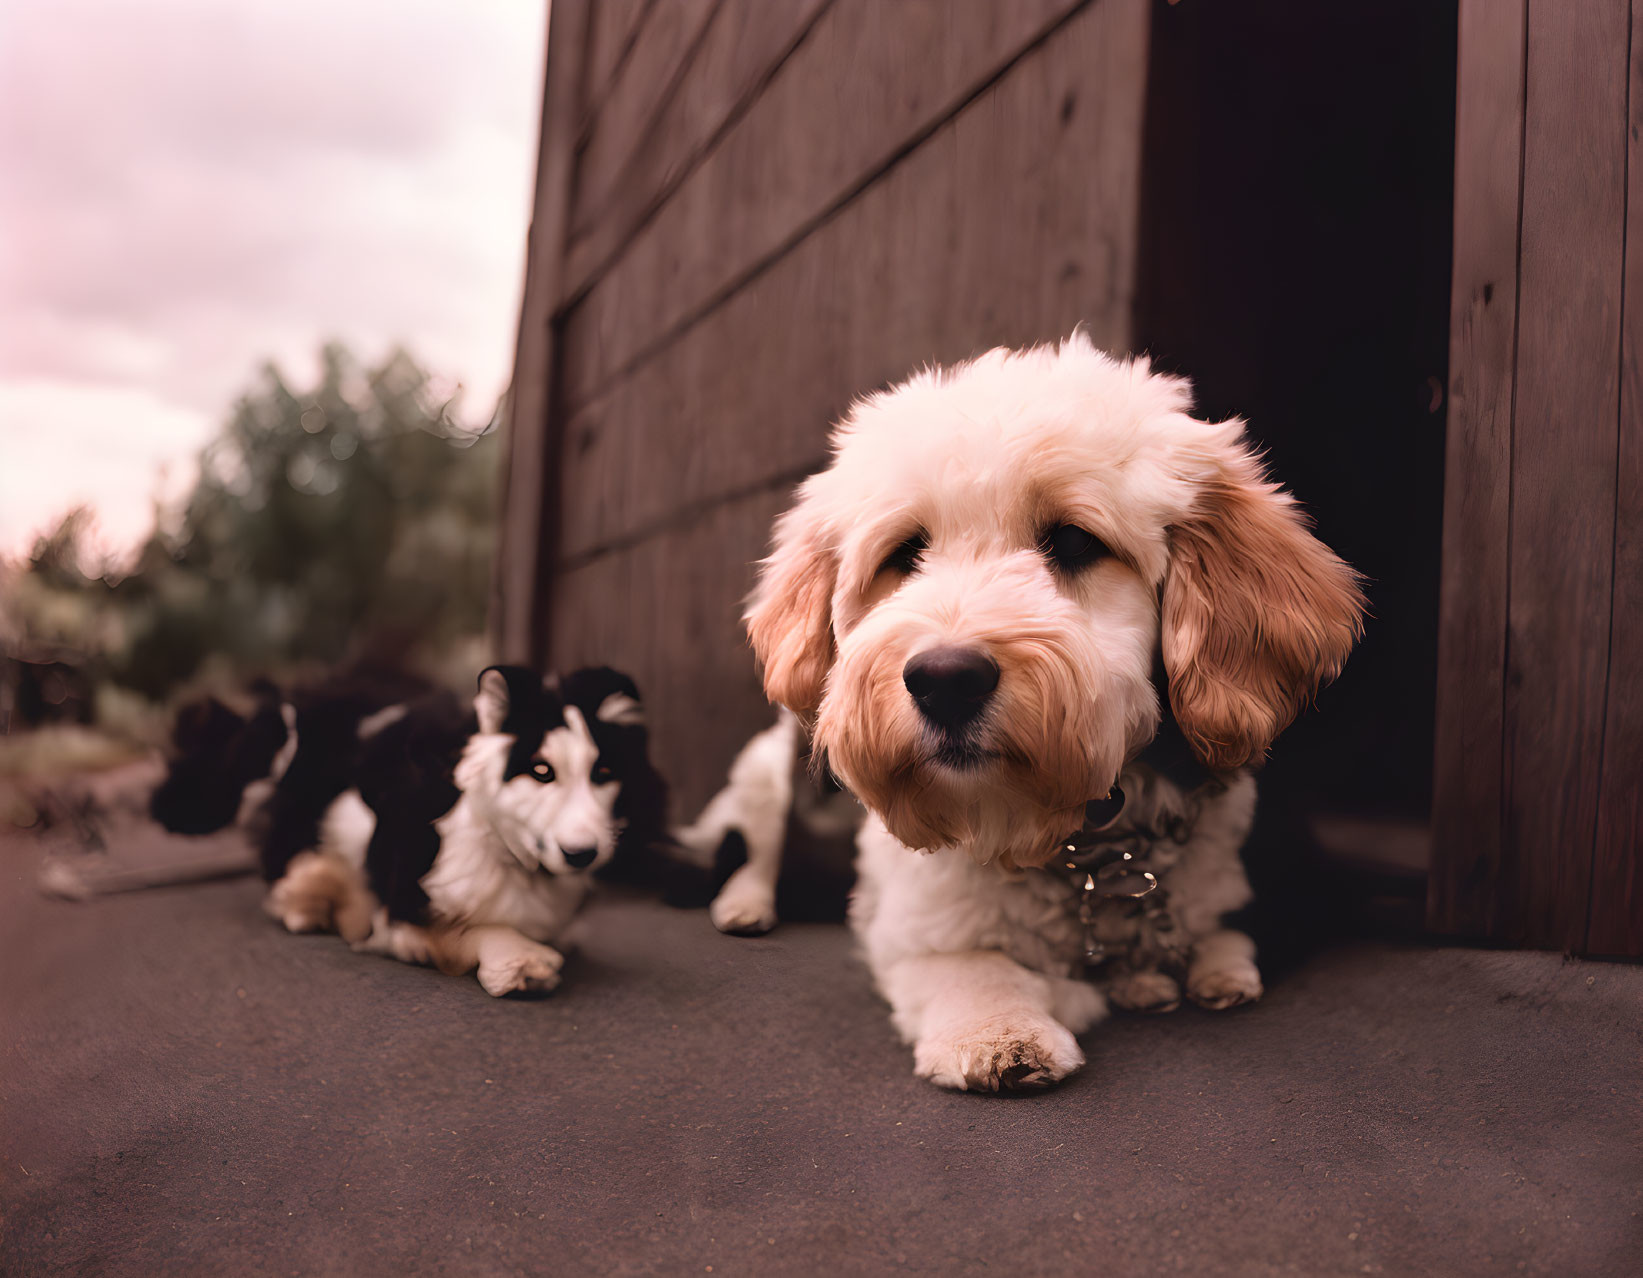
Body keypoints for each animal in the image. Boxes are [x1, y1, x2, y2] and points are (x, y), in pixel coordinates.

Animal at [745, 333, 1360, 1090]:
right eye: (906, 553)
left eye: (1073, 542)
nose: (945, 680)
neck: (1078, 848)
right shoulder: (910, 931)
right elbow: (973, 964)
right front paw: (1002, 1029)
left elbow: (1222, 925)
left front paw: (1196, 971)